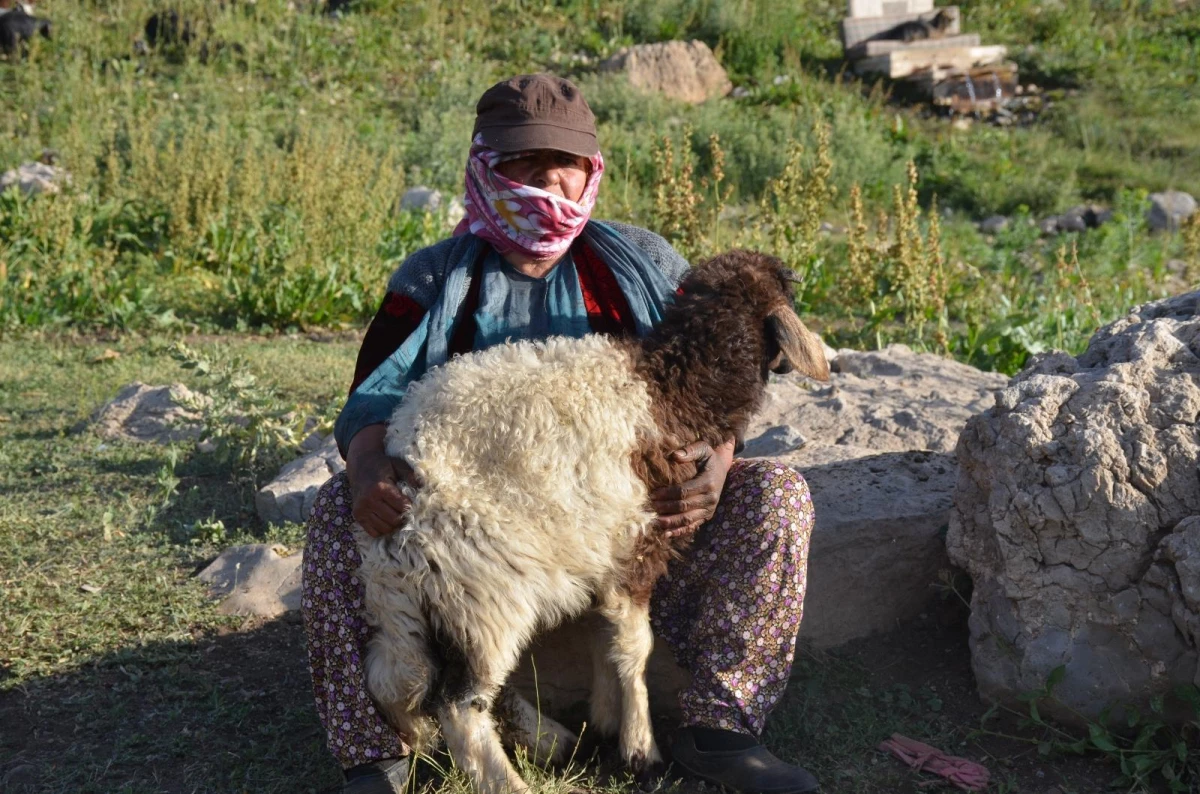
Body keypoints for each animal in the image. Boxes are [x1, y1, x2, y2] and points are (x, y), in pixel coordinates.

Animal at [350, 249, 830, 794]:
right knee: (459, 703)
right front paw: (641, 748)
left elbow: (605, 638)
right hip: (483, 589)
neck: (673, 387)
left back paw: (547, 740)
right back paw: (513, 778)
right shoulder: (638, 542)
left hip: (444, 602)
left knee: (421, 682)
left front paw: (604, 719)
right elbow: (636, 647)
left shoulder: (601, 549)